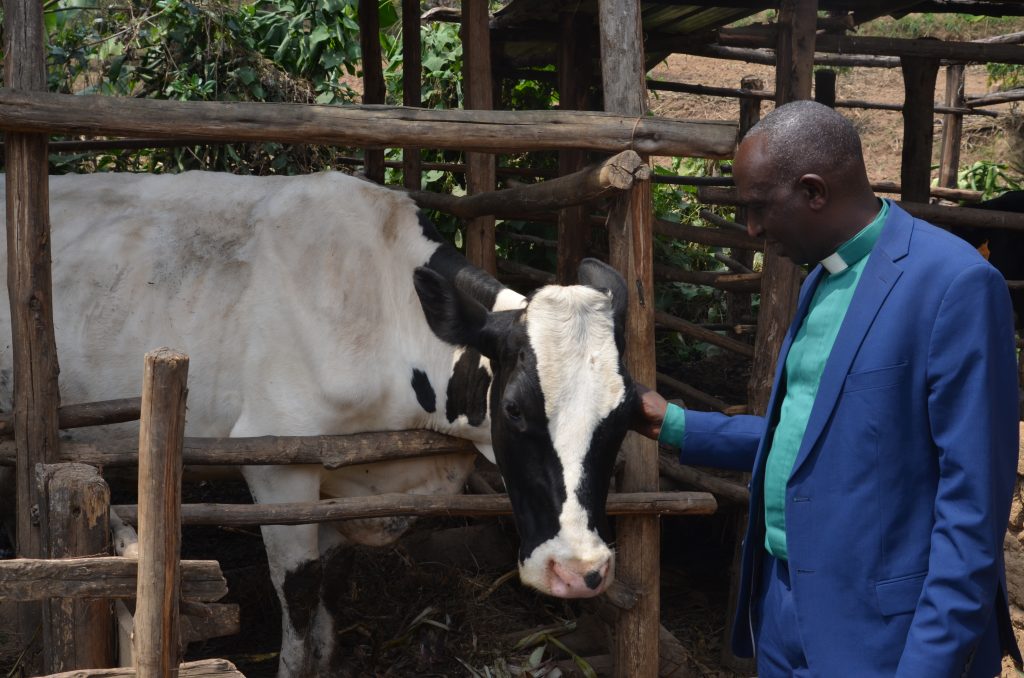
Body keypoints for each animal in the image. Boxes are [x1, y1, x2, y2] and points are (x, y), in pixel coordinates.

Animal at [0, 170, 637, 677]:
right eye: (514, 409)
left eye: (626, 415)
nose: (581, 570)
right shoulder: (276, 463)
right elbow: (300, 587)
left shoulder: (345, 478)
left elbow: (333, 573)